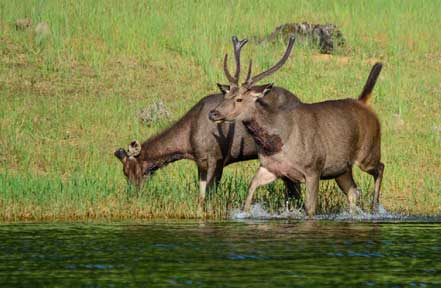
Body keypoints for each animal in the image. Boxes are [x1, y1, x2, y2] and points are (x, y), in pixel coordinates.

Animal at [112, 37, 302, 209]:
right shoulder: (201, 163)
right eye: (124, 173)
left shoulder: (216, 158)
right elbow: (201, 198)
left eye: (130, 170)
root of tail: (299, 100)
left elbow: (210, 198)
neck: (188, 142)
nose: (132, 194)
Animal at [208, 35, 384, 216]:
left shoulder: (314, 168)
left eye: (239, 99)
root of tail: (364, 103)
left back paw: (375, 206)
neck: (280, 142)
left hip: (368, 152)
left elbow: (310, 209)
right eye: (225, 95)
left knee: (380, 167)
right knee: (353, 191)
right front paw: (245, 213)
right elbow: (251, 188)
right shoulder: (270, 167)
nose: (213, 113)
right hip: (342, 168)